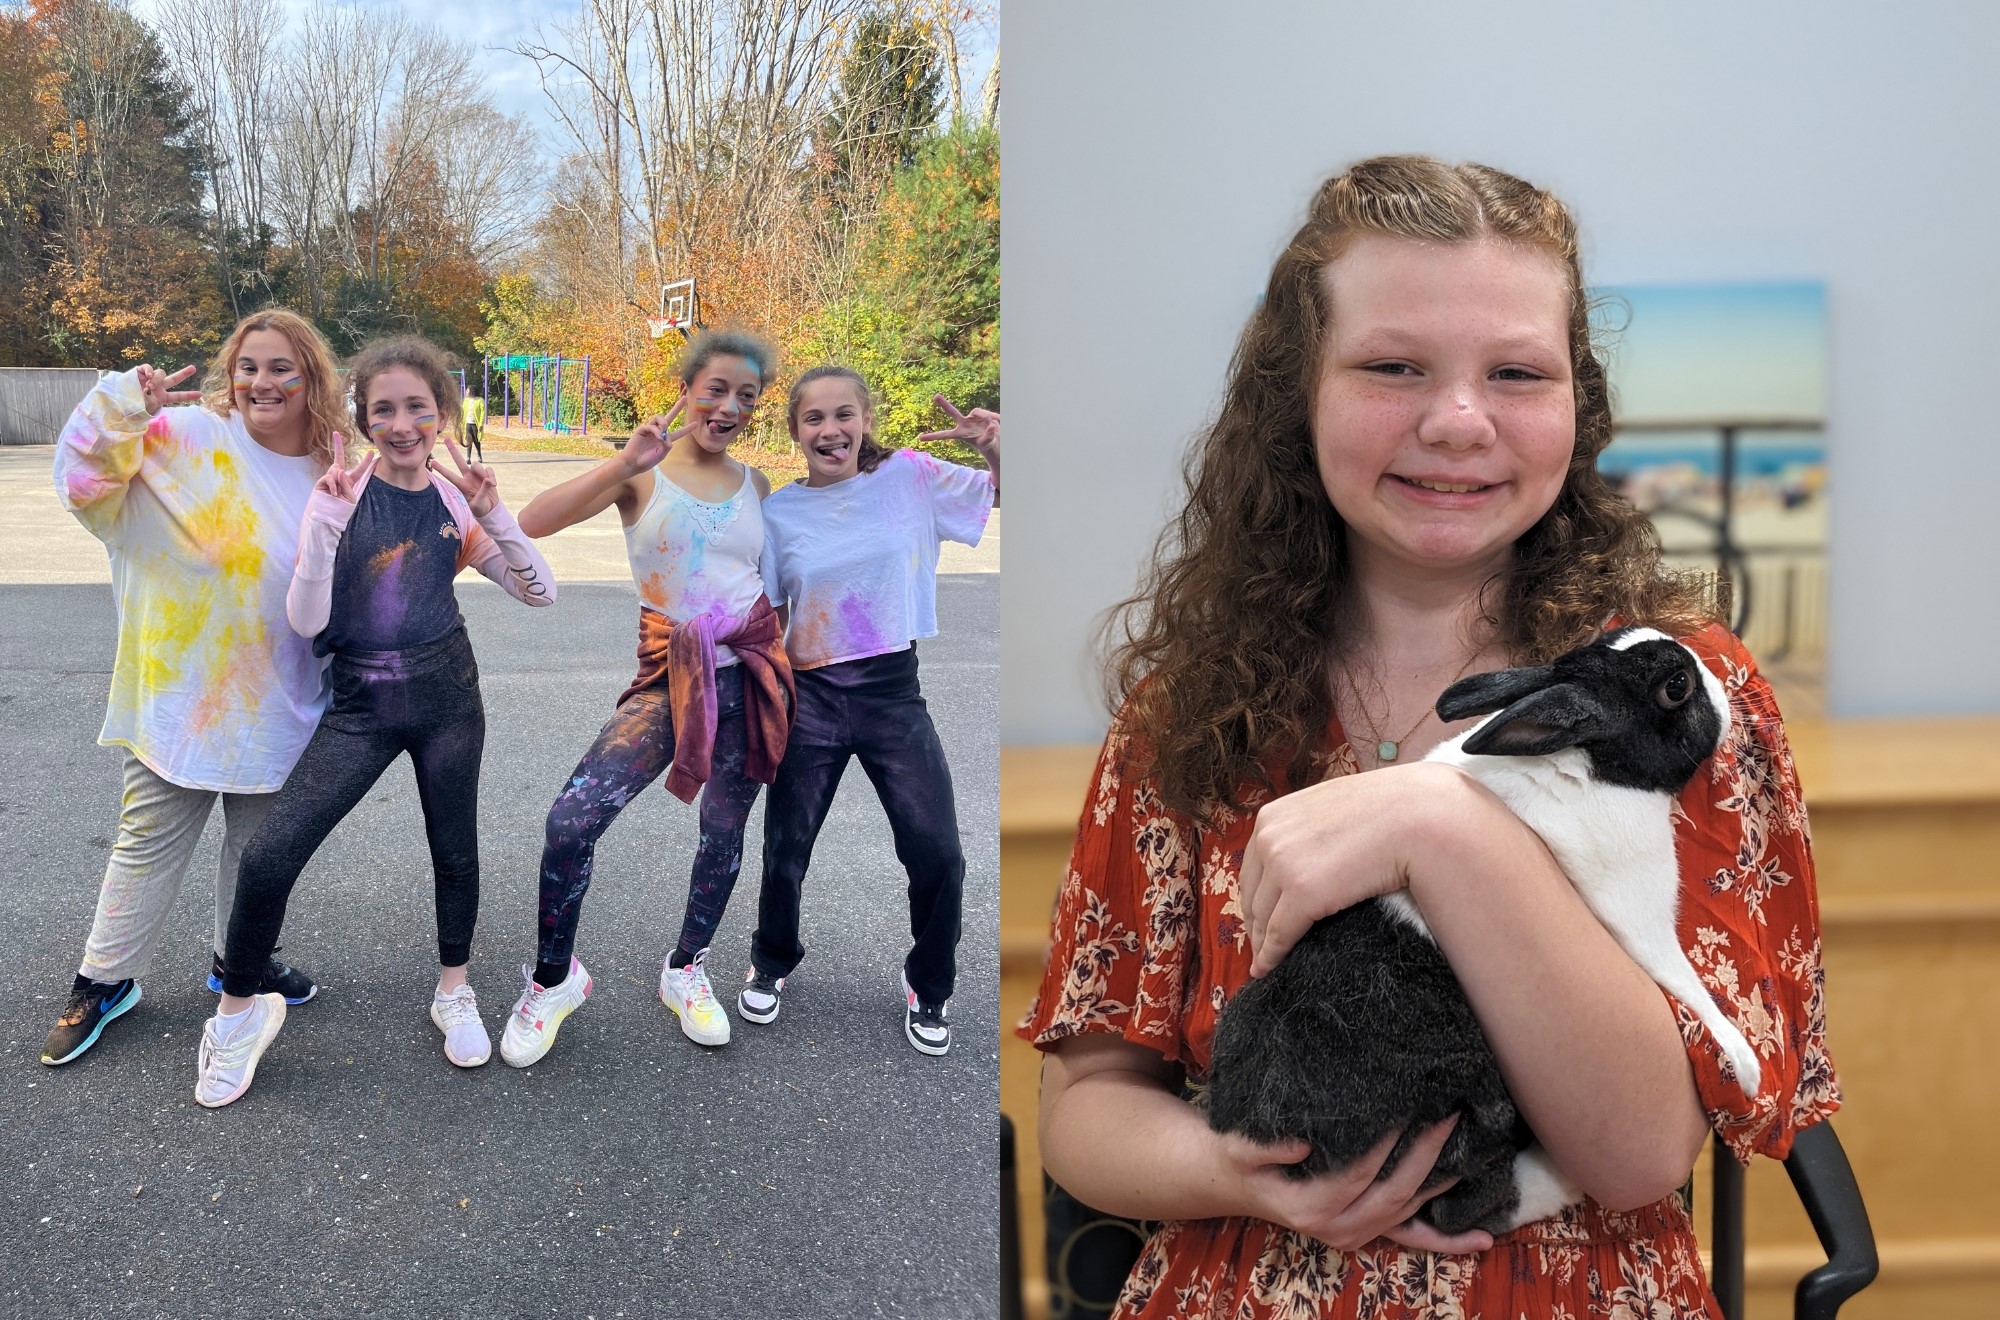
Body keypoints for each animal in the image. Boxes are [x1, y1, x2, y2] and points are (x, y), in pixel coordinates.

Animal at [1200, 628, 1752, 1240]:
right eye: (1675, 686)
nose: (1725, 688)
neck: (1584, 761)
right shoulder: (1640, 921)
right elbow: (1688, 986)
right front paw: (1746, 1065)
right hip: (1468, 1117)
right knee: (1460, 1208)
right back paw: (1559, 1182)